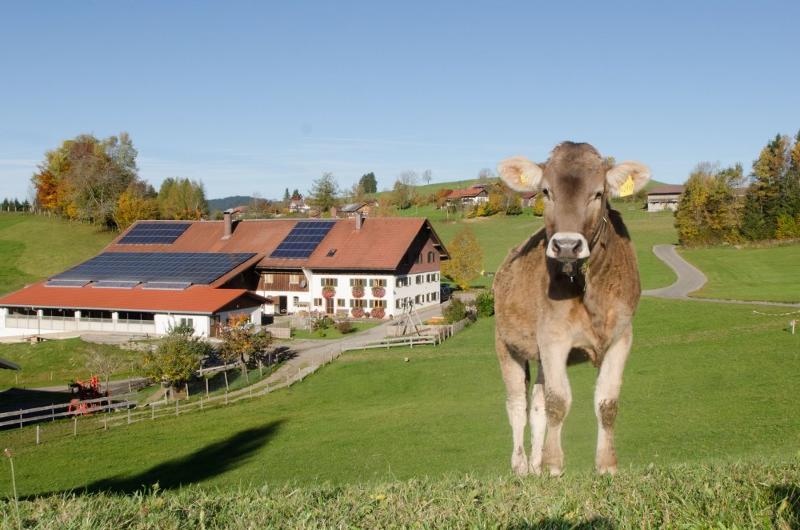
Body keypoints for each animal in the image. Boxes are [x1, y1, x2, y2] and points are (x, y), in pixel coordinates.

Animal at [494, 140, 648, 474]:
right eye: (546, 191)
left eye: (599, 193)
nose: (566, 245)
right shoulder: (553, 338)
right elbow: (558, 402)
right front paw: (554, 465)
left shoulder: (622, 336)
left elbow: (606, 403)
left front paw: (606, 466)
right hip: (505, 343)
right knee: (517, 405)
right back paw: (521, 466)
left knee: (536, 404)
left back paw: (535, 465)